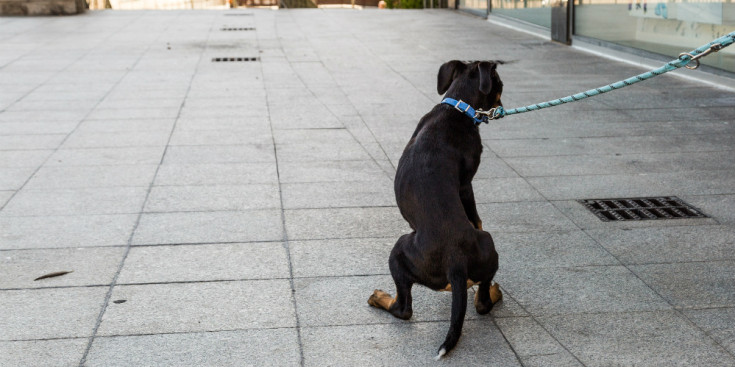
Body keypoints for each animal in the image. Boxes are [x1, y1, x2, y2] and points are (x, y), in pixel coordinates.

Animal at [368, 59, 506, 360]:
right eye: (501, 84)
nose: (501, 107)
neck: (457, 107)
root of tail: (456, 262)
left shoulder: (466, 184)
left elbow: (475, 216)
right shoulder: (466, 184)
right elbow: (475, 218)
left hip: (399, 250)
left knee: (404, 309)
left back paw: (380, 298)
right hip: (487, 245)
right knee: (482, 302)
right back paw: (490, 290)